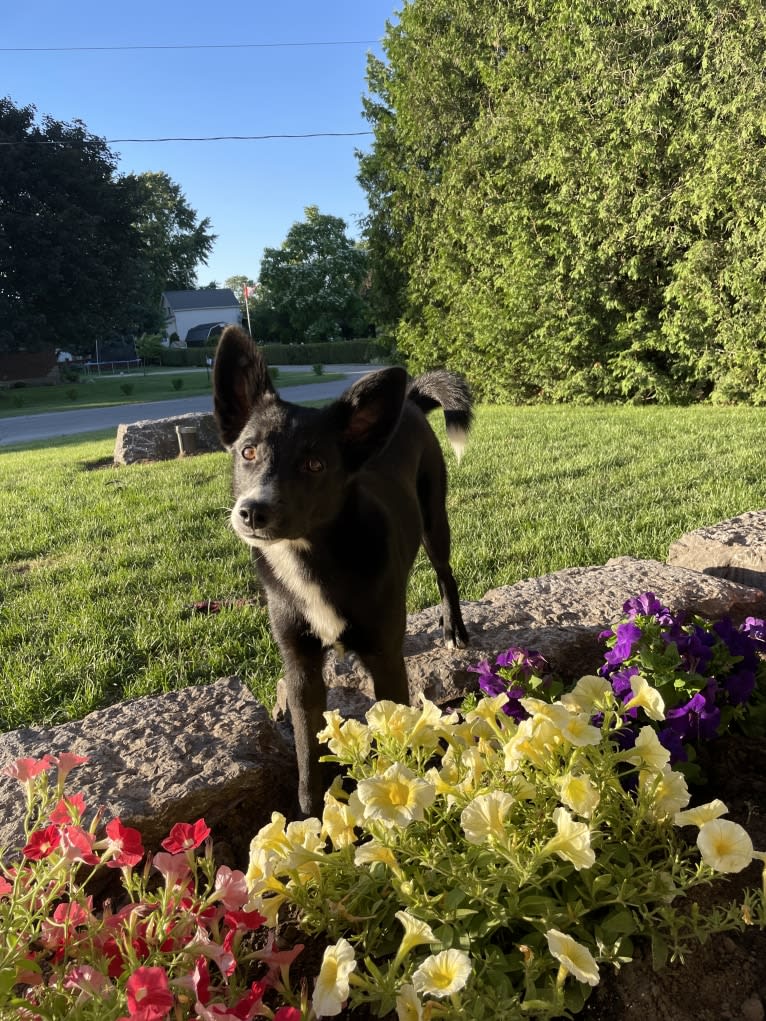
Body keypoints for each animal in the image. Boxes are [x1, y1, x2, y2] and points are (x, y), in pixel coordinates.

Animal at [213, 326, 471, 812]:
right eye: (248, 452)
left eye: (315, 464)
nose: (252, 512)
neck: (313, 557)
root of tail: (408, 401)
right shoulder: (301, 670)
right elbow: (306, 757)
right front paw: (309, 821)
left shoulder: (386, 663)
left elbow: (393, 742)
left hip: (434, 520)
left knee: (446, 574)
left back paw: (454, 629)